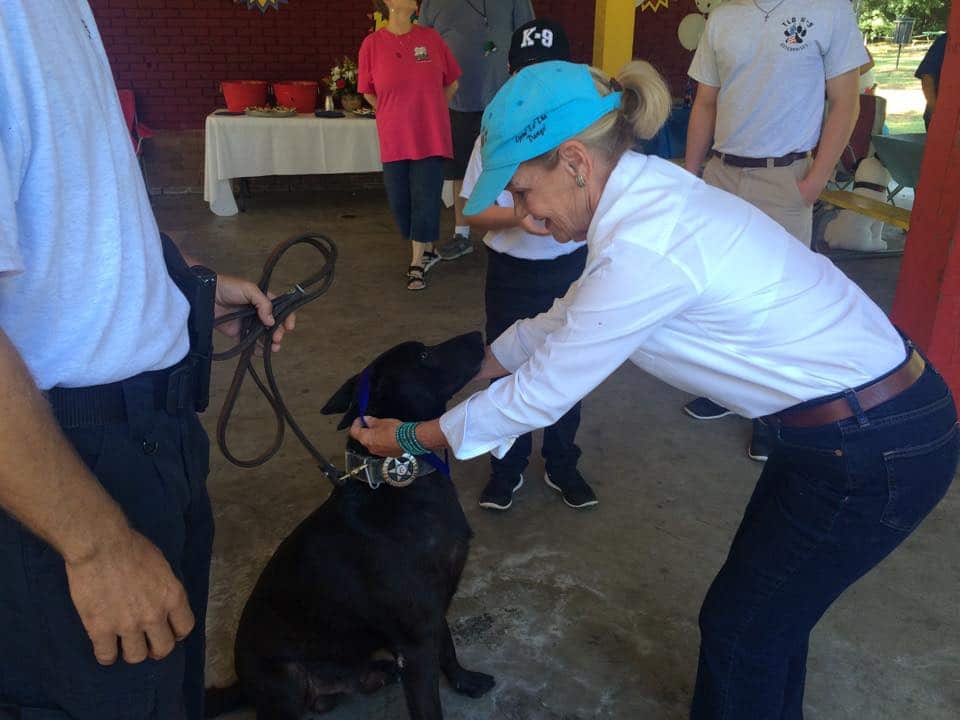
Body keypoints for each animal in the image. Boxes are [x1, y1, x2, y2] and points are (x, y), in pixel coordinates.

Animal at [230, 334, 496, 720]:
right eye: (424, 355)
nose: (478, 336)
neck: (396, 485)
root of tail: (242, 685)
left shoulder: (432, 610)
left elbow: (448, 647)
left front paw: (463, 680)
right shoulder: (415, 640)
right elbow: (428, 703)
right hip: (285, 685)